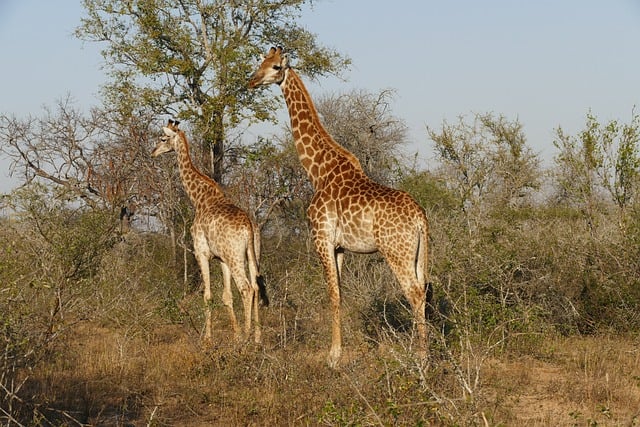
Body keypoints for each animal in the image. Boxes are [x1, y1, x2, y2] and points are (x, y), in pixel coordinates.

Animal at [152, 119, 262, 344]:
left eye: (163, 138)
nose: (153, 152)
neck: (199, 198)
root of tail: (249, 226)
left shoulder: (201, 253)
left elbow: (208, 295)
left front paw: (208, 339)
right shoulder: (221, 258)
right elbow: (226, 296)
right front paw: (236, 334)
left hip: (236, 257)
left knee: (246, 288)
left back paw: (248, 338)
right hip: (251, 254)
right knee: (255, 286)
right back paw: (256, 337)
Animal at [249, 46, 430, 368]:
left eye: (275, 67)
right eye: (260, 63)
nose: (252, 81)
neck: (318, 170)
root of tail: (420, 218)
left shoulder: (321, 239)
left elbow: (332, 294)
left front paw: (333, 356)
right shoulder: (340, 247)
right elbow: (341, 295)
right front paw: (338, 350)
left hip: (396, 252)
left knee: (415, 293)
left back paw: (421, 358)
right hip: (419, 254)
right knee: (425, 289)